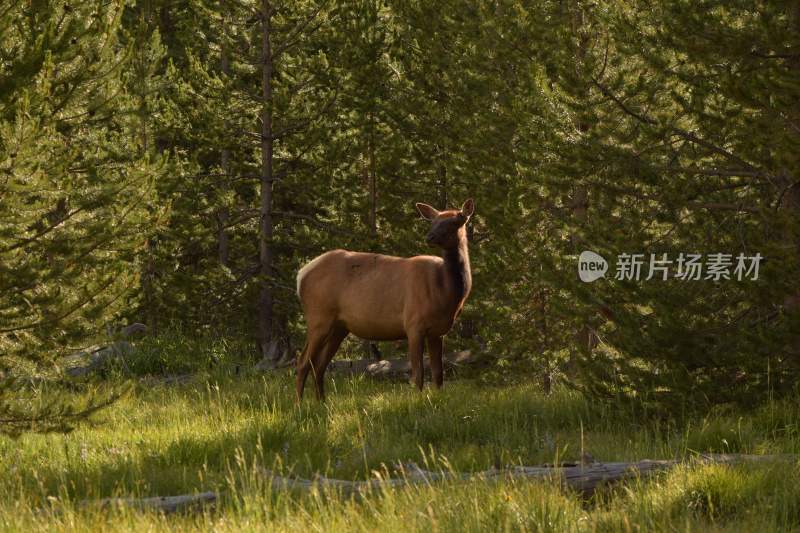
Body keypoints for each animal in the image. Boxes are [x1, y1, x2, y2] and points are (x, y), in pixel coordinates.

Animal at [298, 198, 476, 400]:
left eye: (454, 221)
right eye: (433, 221)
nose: (429, 237)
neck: (446, 292)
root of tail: (301, 274)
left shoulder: (438, 331)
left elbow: (439, 375)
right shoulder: (413, 323)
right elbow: (418, 373)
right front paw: (418, 400)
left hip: (339, 327)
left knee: (319, 365)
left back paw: (321, 402)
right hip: (318, 317)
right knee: (303, 362)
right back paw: (299, 404)